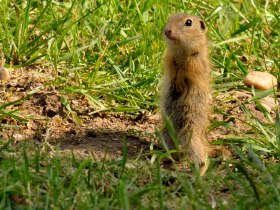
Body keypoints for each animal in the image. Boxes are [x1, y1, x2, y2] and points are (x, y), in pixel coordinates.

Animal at [161, 13, 211, 171]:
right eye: (169, 18)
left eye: (188, 23)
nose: (167, 31)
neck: (180, 49)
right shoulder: (169, 57)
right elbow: (172, 68)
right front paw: (174, 82)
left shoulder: (195, 60)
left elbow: (186, 71)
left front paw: (179, 83)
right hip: (166, 131)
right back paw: (167, 158)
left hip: (191, 131)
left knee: (201, 155)